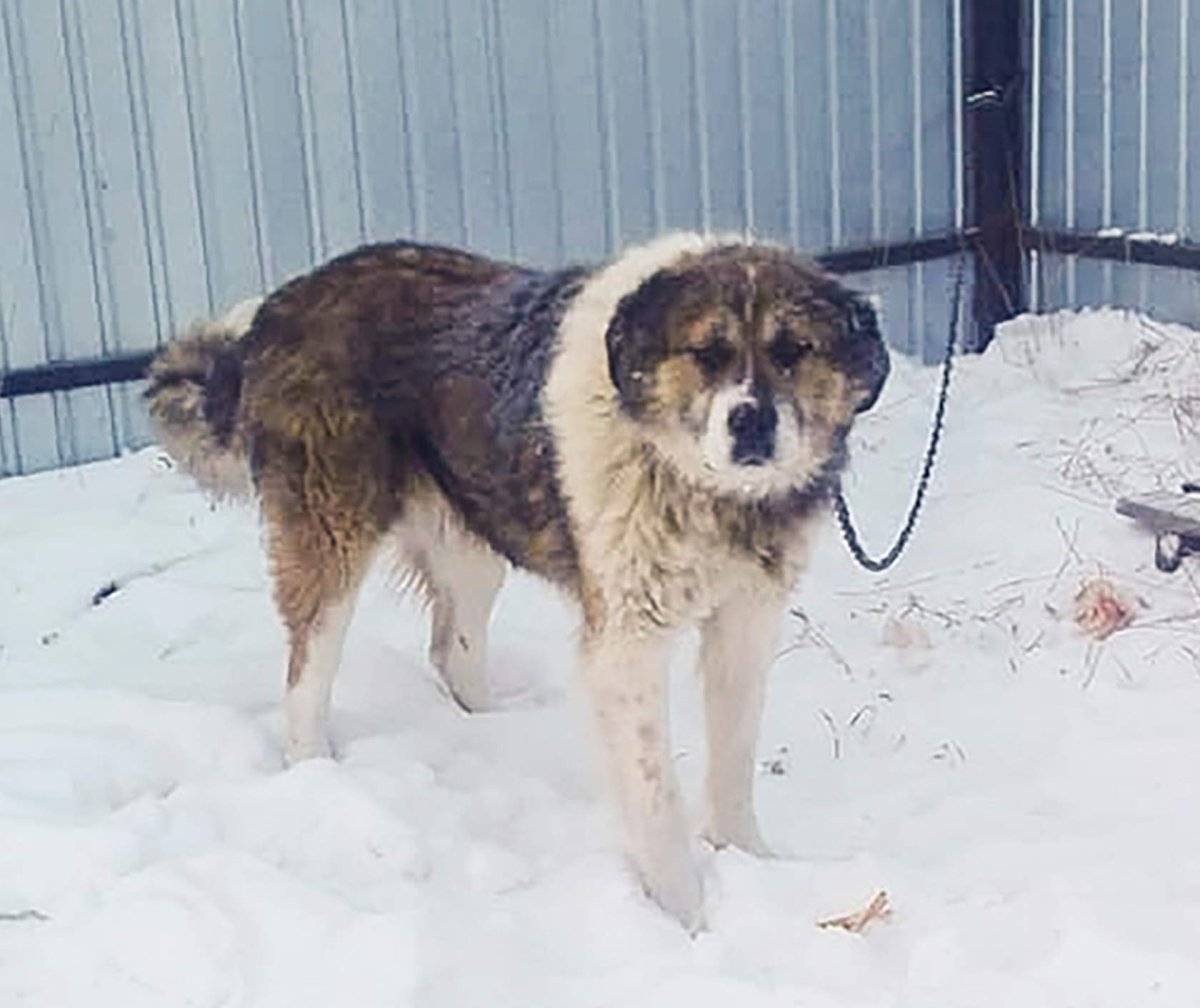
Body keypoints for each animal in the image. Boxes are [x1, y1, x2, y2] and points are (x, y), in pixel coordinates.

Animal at [142, 234, 892, 931]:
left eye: (794, 349)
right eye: (708, 352)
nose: (750, 421)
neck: (703, 485)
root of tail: (279, 306)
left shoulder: (746, 621)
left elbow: (734, 764)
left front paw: (755, 868)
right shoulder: (627, 647)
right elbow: (657, 802)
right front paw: (689, 924)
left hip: (474, 545)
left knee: (452, 652)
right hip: (334, 537)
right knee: (306, 679)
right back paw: (317, 774)